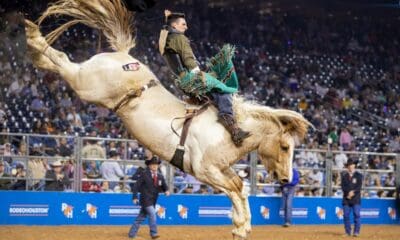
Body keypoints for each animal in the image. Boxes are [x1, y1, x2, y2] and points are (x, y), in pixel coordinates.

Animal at [25, 0, 310, 239]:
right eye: (285, 147)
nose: (287, 179)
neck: (229, 130)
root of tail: (123, 57)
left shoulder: (222, 168)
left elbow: (240, 187)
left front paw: (242, 226)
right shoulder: (205, 170)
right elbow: (235, 189)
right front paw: (241, 226)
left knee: (57, 62)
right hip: (87, 85)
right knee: (63, 60)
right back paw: (32, 36)